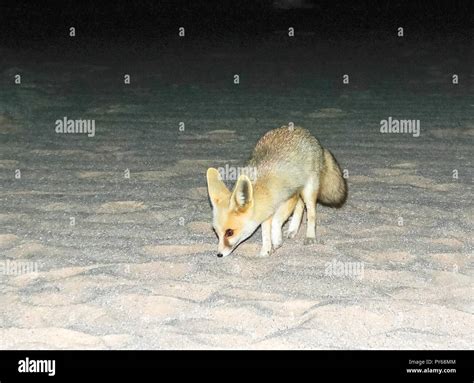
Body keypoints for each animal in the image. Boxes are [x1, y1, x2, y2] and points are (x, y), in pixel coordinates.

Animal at [206, 127, 346, 258]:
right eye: (216, 233)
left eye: (229, 232)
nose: (219, 254)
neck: (264, 189)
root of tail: (307, 134)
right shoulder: (267, 210)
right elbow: (265, 232)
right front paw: (266, 250)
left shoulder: (290, 196)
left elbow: (275, 222)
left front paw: (277, 240)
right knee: (301, 207)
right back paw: (293, 229)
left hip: (308, 190)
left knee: (311, 213)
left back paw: (310, 236)